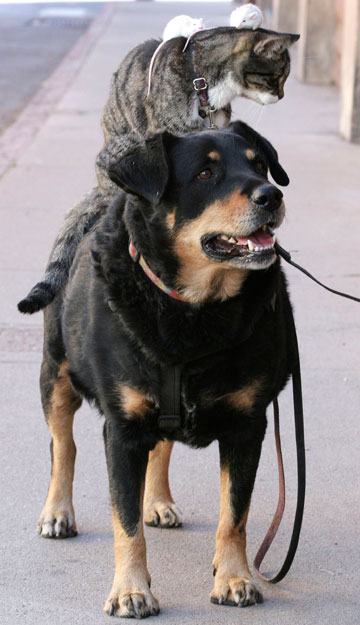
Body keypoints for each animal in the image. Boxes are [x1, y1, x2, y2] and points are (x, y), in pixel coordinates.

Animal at [37, 119, 296, 616]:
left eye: (259, 165)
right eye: (205, 174)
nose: (270, 195)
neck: (193, 310)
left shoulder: (247, 426)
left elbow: (235, 514)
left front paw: (234, 577)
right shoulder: (123, 430)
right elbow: (125, 522)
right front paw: (130, 589)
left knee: (162, 447)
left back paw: (157, 501)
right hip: (55, 371)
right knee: (64, 445)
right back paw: (57, 511)